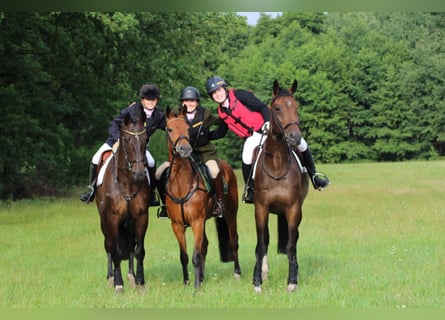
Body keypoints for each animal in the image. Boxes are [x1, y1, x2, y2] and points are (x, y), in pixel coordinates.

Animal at [94, 104, 150, 292]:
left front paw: (140, 282)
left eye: (146, 139)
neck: (127, 184)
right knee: (109, 246)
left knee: (131, 245)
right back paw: (111, 277)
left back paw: (131, 276)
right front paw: (118, 284)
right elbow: (115, 251)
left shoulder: (140, 217)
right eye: (126, 140)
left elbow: (139, 250)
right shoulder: (111, 218)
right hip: (105, 221)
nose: (139, 174)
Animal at [163, 105, 239, 290]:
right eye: (169, 129)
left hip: (230, 214)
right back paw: (203, 277)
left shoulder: (197, 221)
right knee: (205, 245)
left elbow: (196, 254)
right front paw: (187, 283)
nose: (185, 149)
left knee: (234, 241)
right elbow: (184, 256)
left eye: (187, 128)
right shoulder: (177, 225)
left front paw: (197, 286)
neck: (181, 184)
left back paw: (237, 274)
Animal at [250, 79, 308, 292]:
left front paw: (292, 282)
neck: (276, 165)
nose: (295, 137)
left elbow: (291, 245)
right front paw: (257, 282)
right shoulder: (261, 208)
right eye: (277, 108)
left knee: (295, 240)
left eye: (296, 107)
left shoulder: (293, 209)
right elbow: (261, 244)